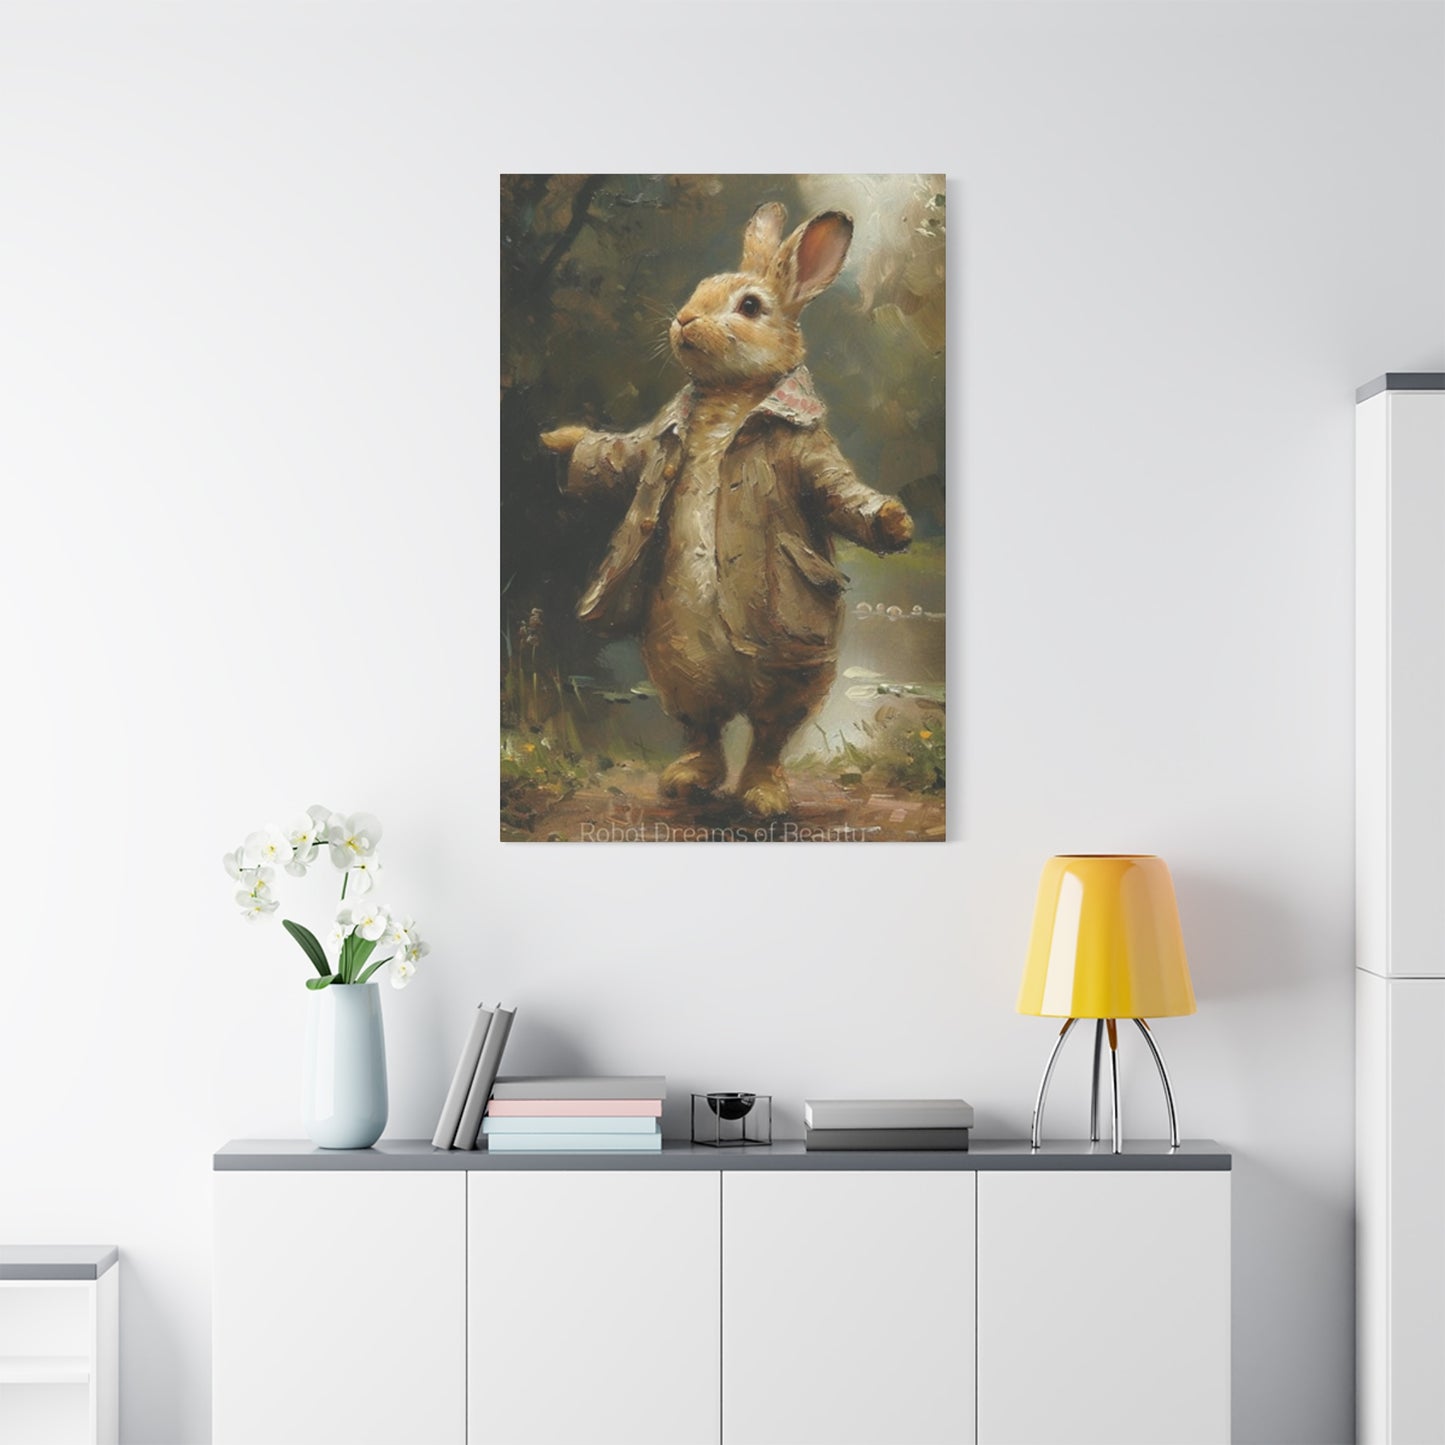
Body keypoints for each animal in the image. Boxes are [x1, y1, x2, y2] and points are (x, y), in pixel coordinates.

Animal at [541, 202, 913, 818]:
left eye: (750, 307)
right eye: (699, 289)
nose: (684, 320)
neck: (730, 402)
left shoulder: (810, 457)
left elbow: (838, 490)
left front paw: (894, 521)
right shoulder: (651, 443)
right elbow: (621, 454)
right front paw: (562, 440)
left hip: (795, 664)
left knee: (768, 734)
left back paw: (762, 796)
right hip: (675, 658)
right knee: (704, 725)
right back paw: (687, 781)